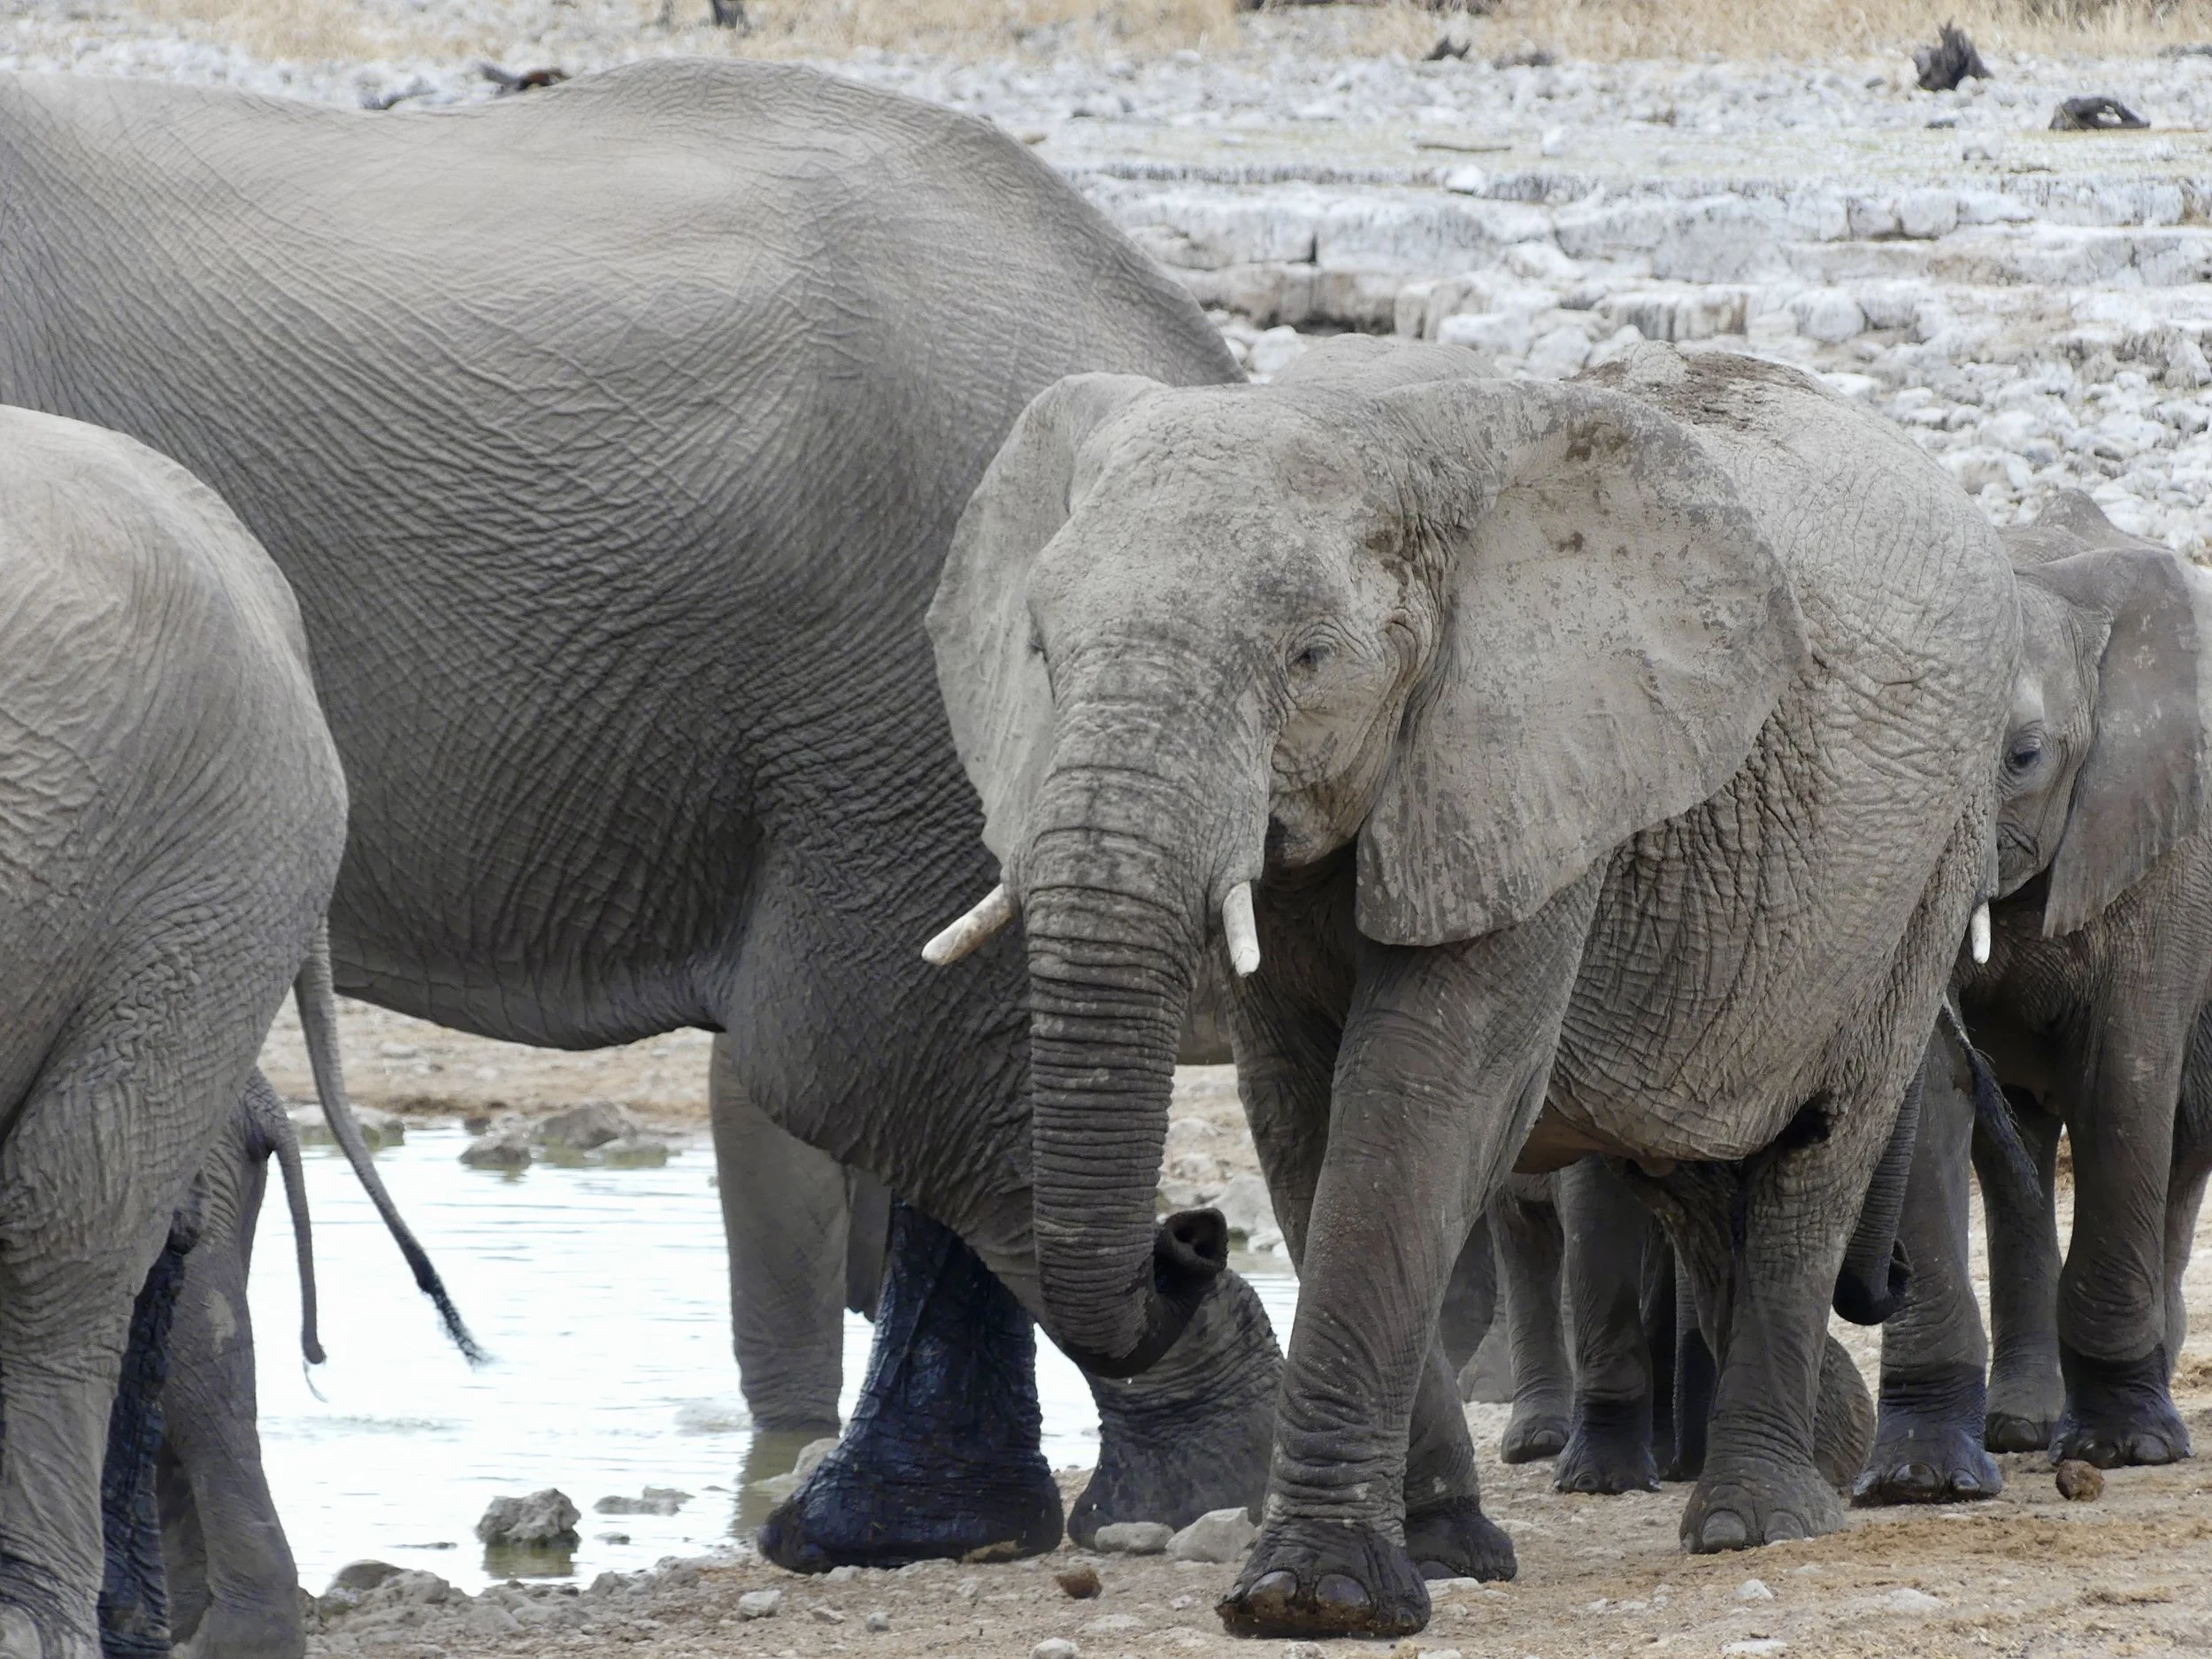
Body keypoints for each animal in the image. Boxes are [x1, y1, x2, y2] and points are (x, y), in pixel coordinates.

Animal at [921, 334, 2017, 1637]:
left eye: (1308, 657)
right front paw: (1442, 1553)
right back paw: (1829, 1448)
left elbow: (1420, 1108)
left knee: (1817, 1152)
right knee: (1695, 1176)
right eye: (1039, 653)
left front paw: (1313, 1597)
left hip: (1928, 861)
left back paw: (1760, 1517)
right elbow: (1302, 1122)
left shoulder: (1536, 772)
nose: (1188, 1232)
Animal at [1861, 491, 2212, 1500]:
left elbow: (2124, 1080)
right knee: (2008, 1148)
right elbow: (1930, 1104)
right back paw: (2020, 1424)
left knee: (2181, 1141)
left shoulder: (2164, 841)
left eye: (2023, 756)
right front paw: (1920, 1478)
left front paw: (2126, 1449)